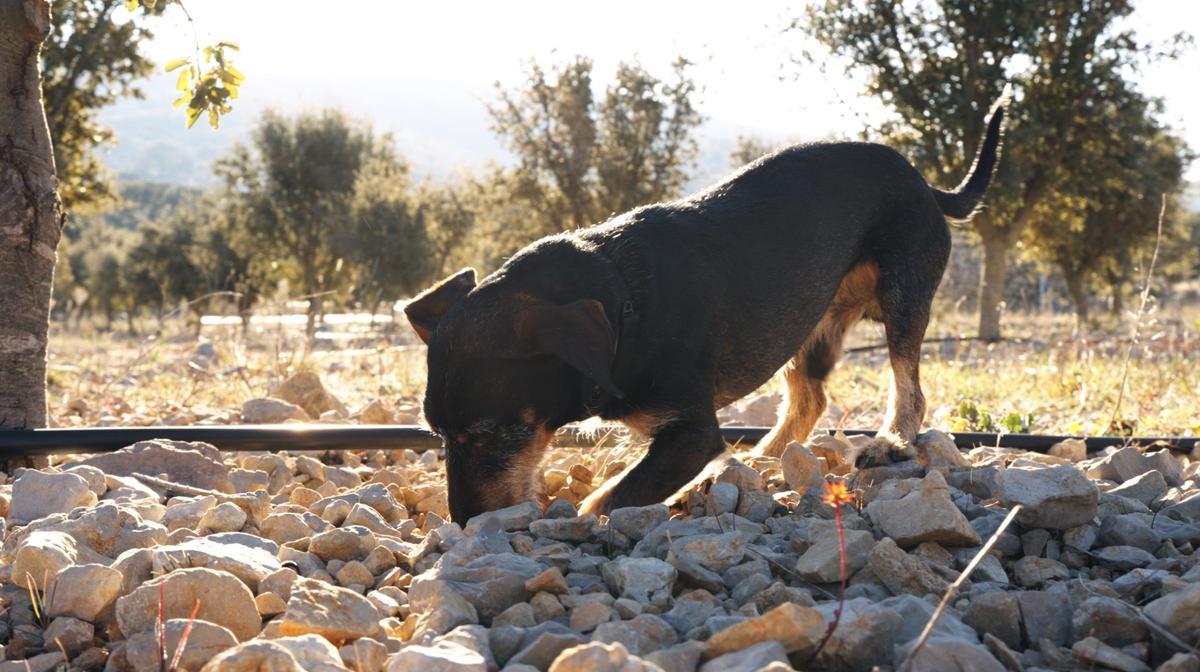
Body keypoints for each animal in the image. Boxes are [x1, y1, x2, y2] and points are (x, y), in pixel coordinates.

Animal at [408, 86, 1008, 523]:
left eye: (487, 434)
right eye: (437, 436)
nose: (464, 523)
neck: (623, 306)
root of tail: (926, 184)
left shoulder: (694, 433)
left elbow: (611, 497)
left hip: (903, 295)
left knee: (910, 387)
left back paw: (890, 441)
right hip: (806, 322)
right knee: (810, 398)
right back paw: (760, 459)